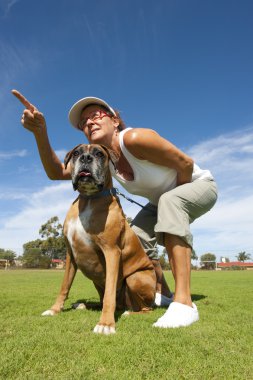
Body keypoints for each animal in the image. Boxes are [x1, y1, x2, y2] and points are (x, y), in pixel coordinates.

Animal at [41, 144, 156, 334]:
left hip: (136, 278)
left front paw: (106, 324)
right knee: (102, 301)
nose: (86, 158)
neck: (89, 199)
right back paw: (83, 305)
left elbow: (110, 292)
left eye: (99, 154)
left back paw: (129, 313)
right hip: (96, 282)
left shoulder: (112, 252)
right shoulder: (70, 254)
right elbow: (64, 285)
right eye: (76, 153)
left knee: (146, 308)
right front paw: (55, 309)